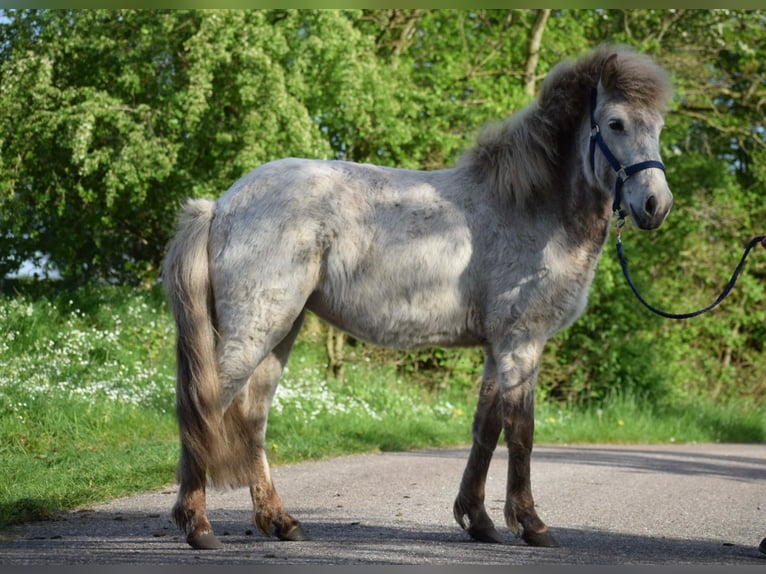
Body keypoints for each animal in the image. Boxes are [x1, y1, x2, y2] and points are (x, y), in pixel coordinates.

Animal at [162, 44, 673, 550]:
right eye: (615, 123)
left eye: (658, 127)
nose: (656, 205)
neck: (527, 206)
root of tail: (221, 204)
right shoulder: (521, 341)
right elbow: (521, 431)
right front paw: (531, 524)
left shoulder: (496, 347)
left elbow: (486, 429)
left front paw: (478, 520)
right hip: (255, 329)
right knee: (205, 406)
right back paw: (199, 526)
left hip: (282, 330)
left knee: (252, 418)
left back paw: (280, 521)